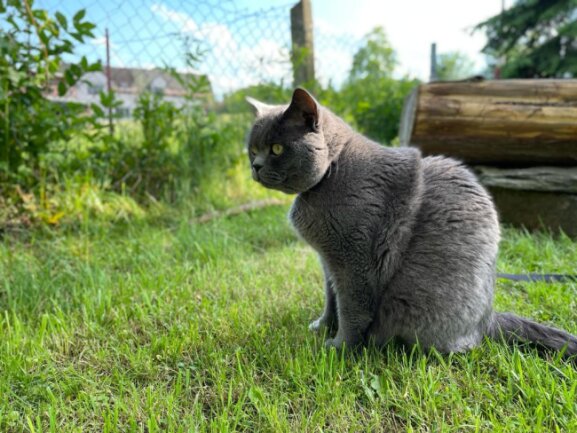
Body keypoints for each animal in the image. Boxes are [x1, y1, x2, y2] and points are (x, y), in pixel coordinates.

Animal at [244, 88, 576, 354]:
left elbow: (351, 308)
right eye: (252, 149)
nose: (255, 166)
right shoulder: (328, 261)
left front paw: (338, 348)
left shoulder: (354, 261)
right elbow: (331, 299)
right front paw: (322, 327)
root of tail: (488, 319)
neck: (330, 172)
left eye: (277, 148)